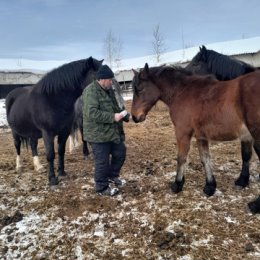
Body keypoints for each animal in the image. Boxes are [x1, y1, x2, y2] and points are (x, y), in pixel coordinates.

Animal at [5, 57, 102, 186]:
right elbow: (50, 154)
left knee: (33, 146)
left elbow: (61, 151)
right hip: (14, 131)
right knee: (17, 146)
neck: (52, 100)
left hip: (33, 133)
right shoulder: (48, 133)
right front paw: (52, 179)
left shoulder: (64, 131)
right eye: (96, 76)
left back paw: (38, 166)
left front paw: (61, 172)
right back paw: (19, 165)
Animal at [131, 63, 260, 213]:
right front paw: (210, 187)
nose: (134, 117)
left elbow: (181, 158)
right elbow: (205, 159)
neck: (182, 93)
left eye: (140, 89)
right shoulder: (201, 136)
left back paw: (255, 205)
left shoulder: (182, 133)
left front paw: (177, 185)